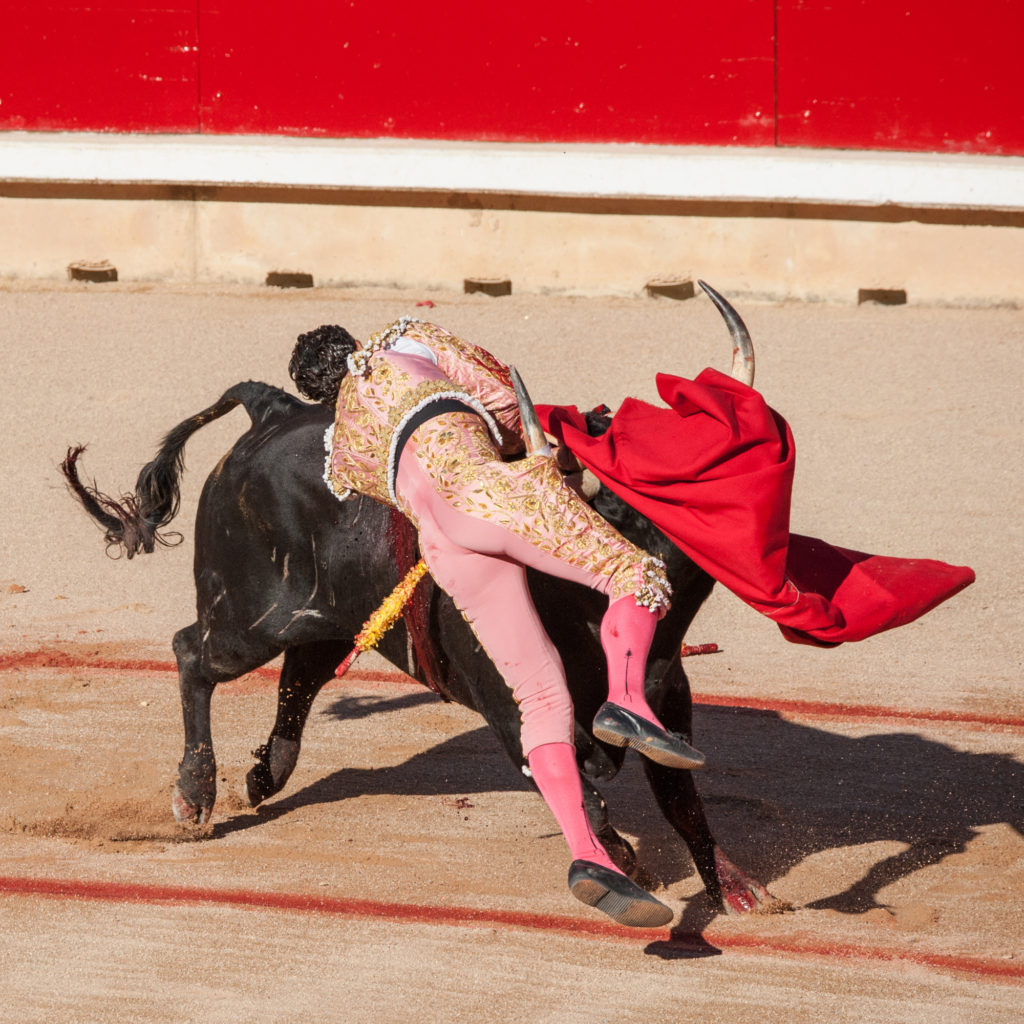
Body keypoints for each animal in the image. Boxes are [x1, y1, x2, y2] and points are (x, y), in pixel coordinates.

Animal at [64, 380, 782, 917]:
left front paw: (740, 891)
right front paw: (621, 865)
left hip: (325, 617)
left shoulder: (668, 700)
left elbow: (681, 801)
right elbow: (580, 787)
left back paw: (266, 775)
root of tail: (275, 408)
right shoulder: (512, 706)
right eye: (619, 511)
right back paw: (195, 792)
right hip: (249, 619)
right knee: (194, 653)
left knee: (298, 678)